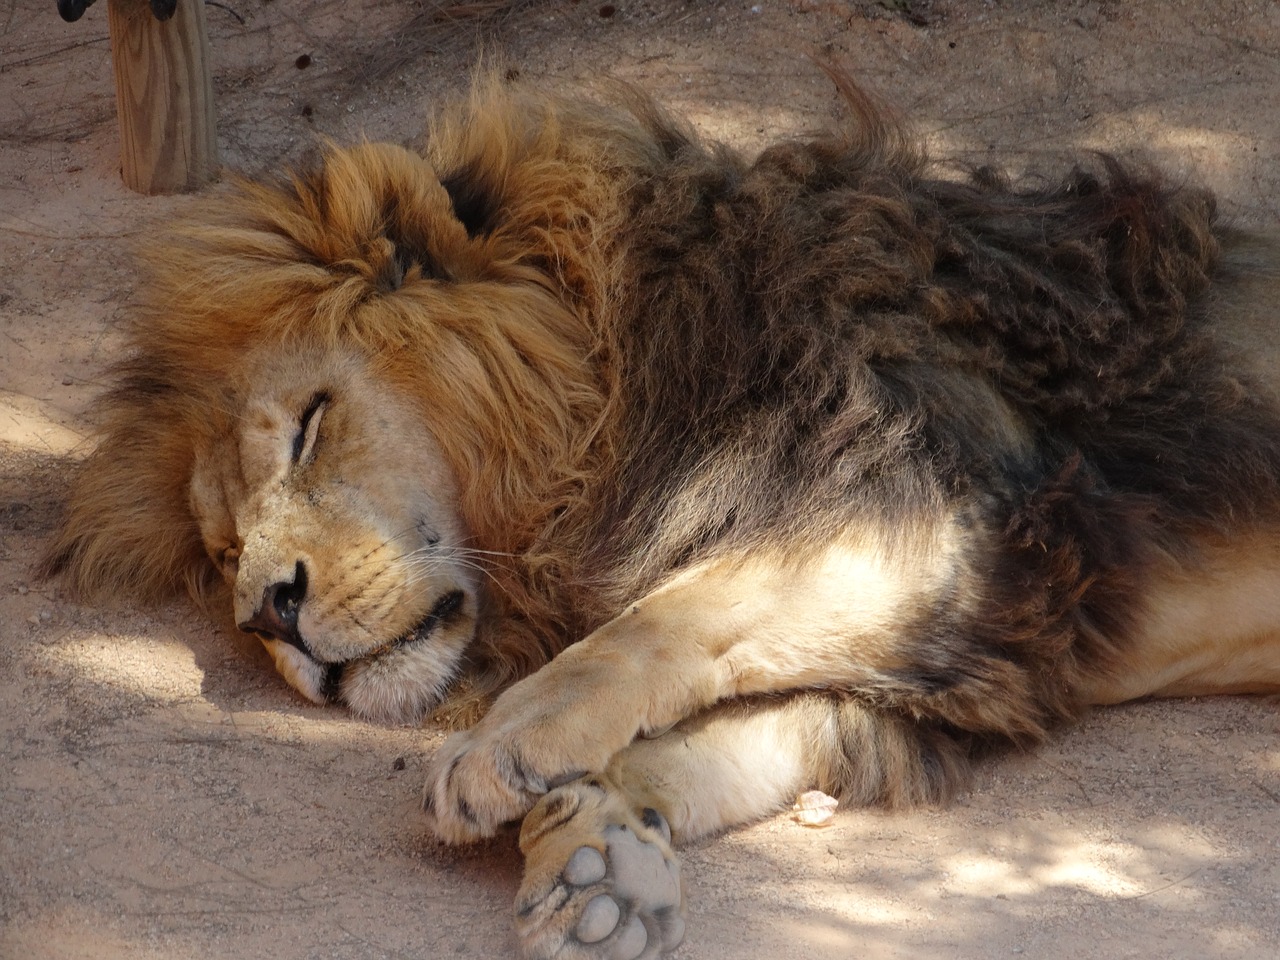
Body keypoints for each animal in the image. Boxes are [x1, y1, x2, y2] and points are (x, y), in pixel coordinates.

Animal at [40, 73, 1280, 960]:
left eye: (306, 427)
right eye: (221, 551)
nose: (270, 614)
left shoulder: (959, 519)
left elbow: (665, 616)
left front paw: (495, 749)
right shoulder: (995, 643)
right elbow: (731, 729)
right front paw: (595, 851)